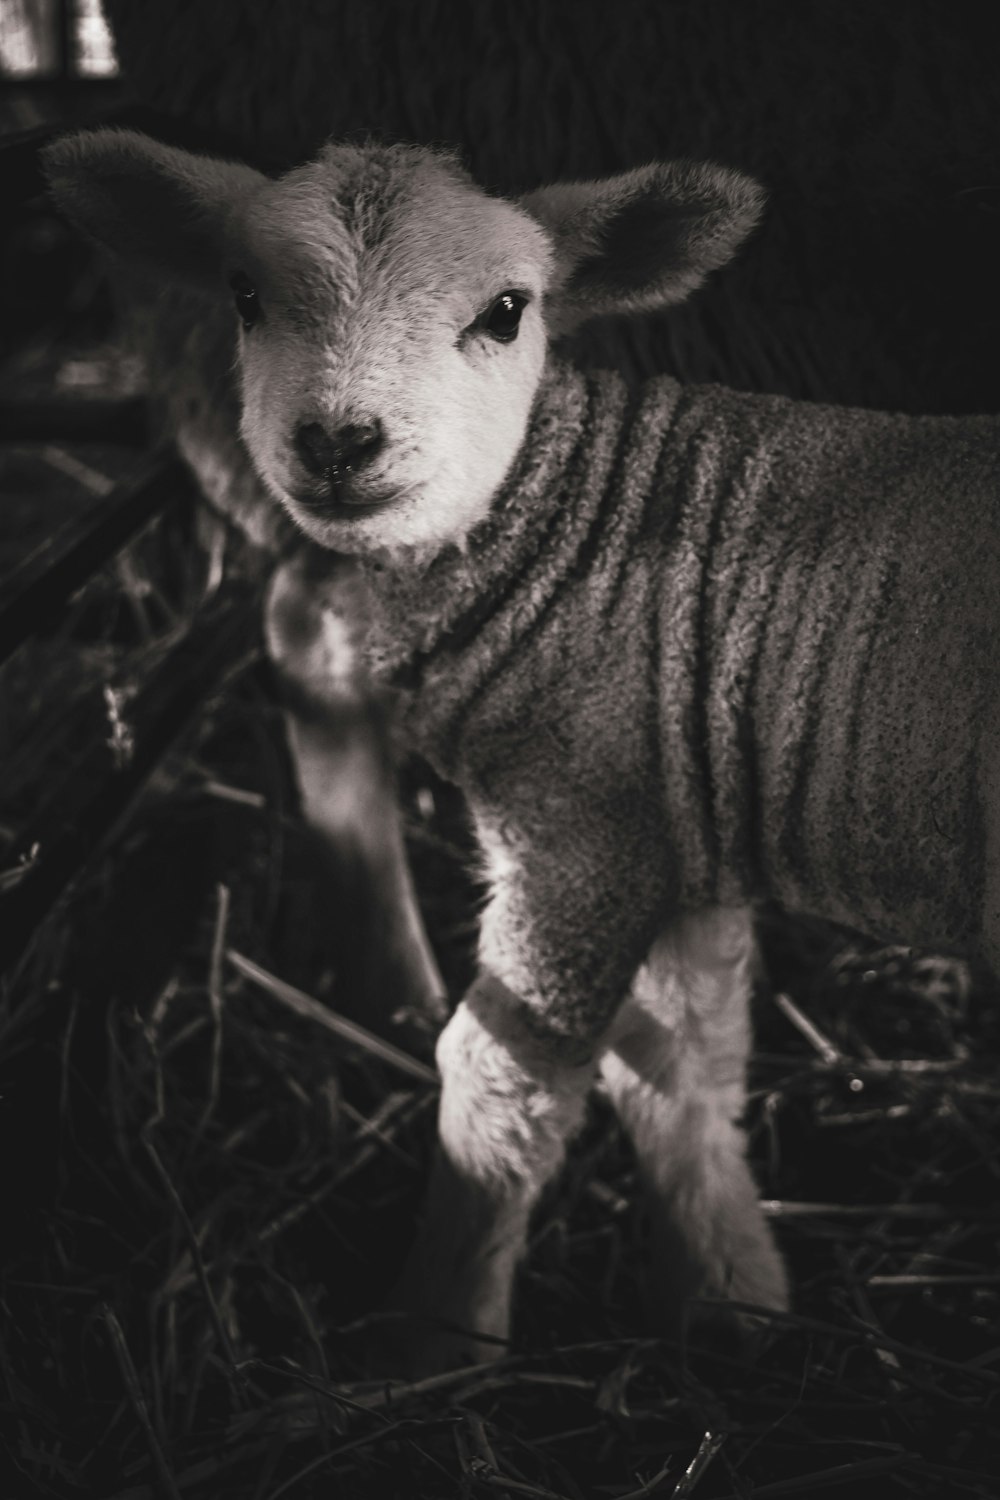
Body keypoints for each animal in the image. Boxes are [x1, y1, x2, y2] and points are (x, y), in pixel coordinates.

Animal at [43, 129, 1000, 1374]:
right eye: (244, 296)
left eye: (507, 311)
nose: (338, 441)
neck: (580, 517)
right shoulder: (668, 817)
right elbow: (684, 1067)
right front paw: (731, 1305)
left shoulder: (574, 825)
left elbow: (504, 1075)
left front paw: (435, 1334)